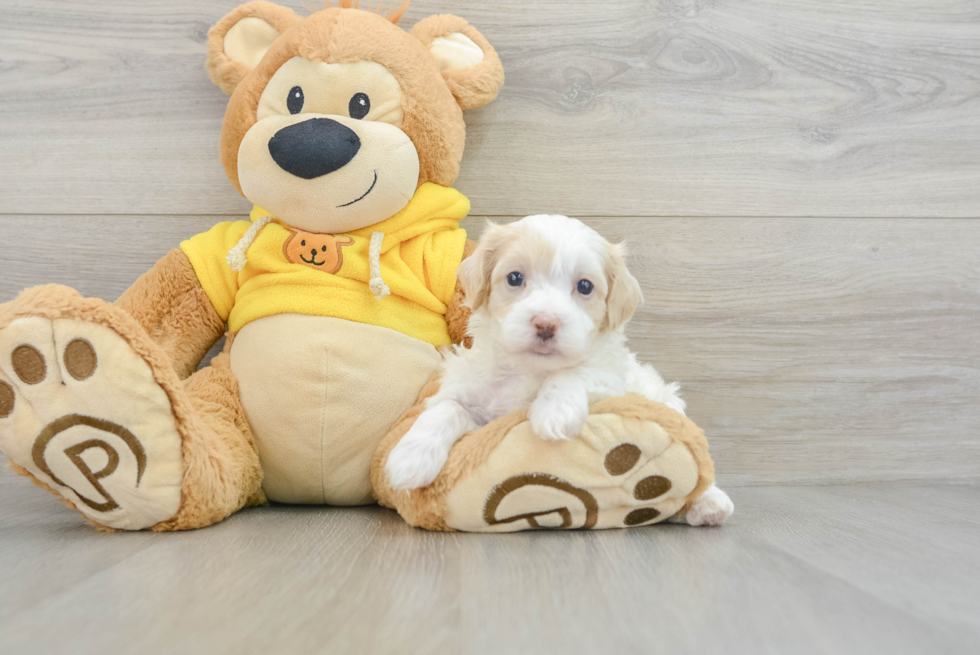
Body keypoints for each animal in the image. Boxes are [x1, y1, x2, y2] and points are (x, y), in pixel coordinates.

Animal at [384, 215, 736, 528]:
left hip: (665, 399)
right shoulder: (473, 397)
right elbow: (445, 409)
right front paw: (409, 460)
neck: (529, 370)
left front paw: (554, 412)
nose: (546, 323)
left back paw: (709, 503)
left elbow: (577, 371)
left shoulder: (610, 380)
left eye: (585, 286)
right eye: (514, 278)